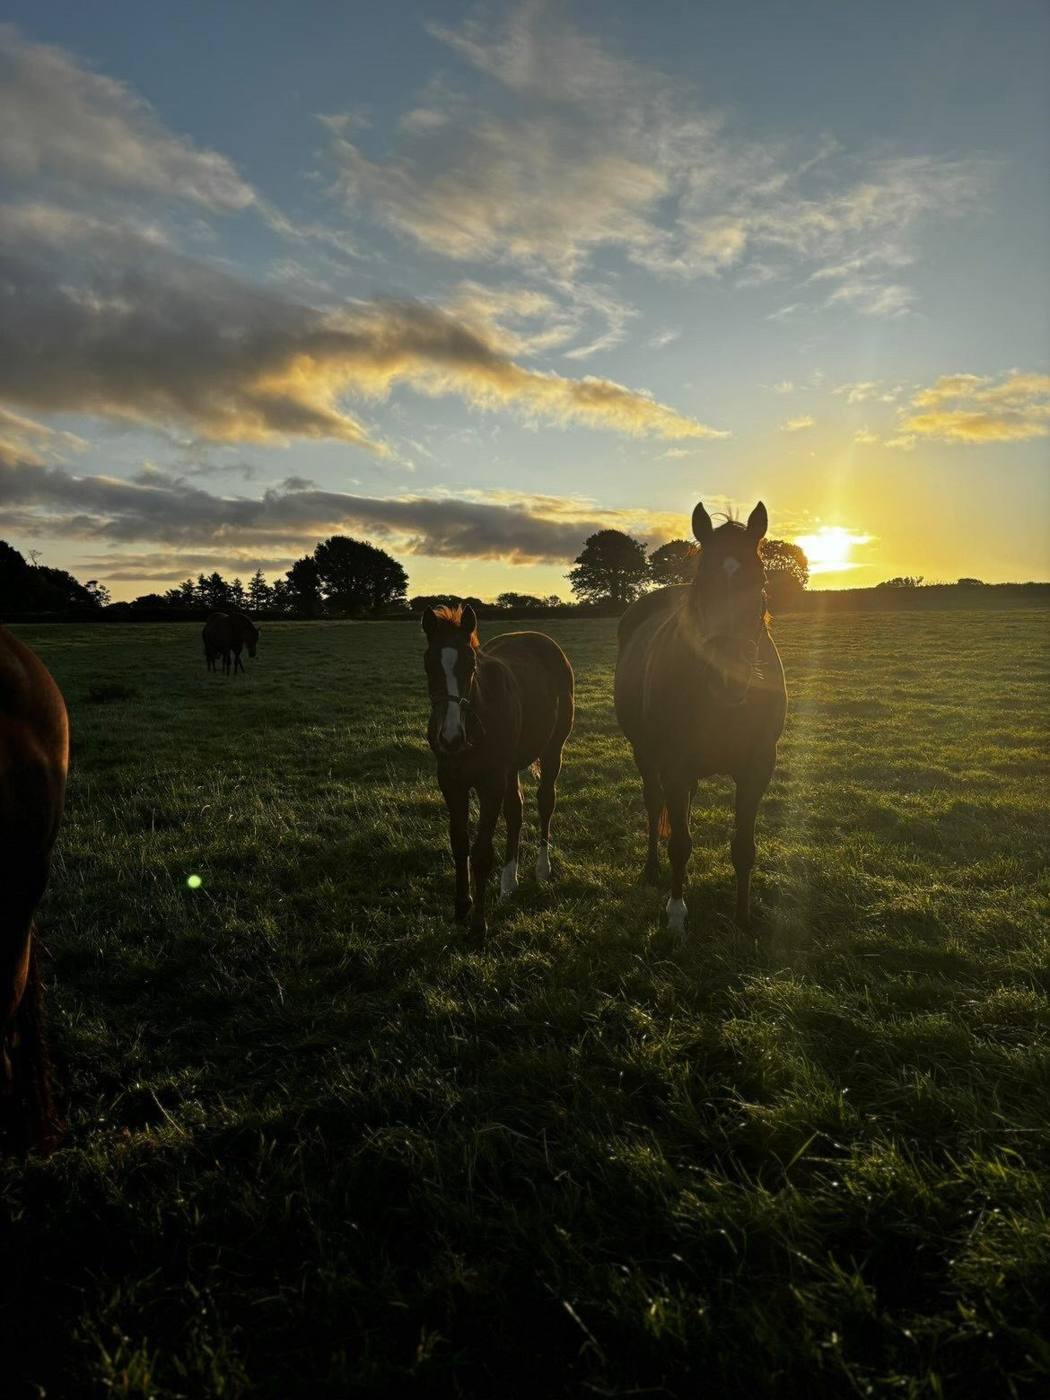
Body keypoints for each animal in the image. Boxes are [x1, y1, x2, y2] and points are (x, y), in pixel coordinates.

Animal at [422, 605, 574, 936]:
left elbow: (481, 853)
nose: (450, 737)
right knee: (515, 812)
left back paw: (542, 868)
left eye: (470, 664)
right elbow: (460, 843)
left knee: (546, 801)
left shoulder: (490, 782)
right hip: (511, 767)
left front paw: (479, 924)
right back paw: (508, 882)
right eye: (429, 665)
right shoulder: (451, 781)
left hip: (552, 750)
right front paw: (462, 906)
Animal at [614, 501, 786, 934]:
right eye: (703, 581)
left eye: (760, 580)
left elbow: (743, 847)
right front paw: (676, 912)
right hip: (645, 753)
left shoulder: (758, 767)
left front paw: (742, 916)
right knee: (655, 804)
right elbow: (679, 843)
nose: (728, 676)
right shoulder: (674, 765)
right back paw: (651, 869)